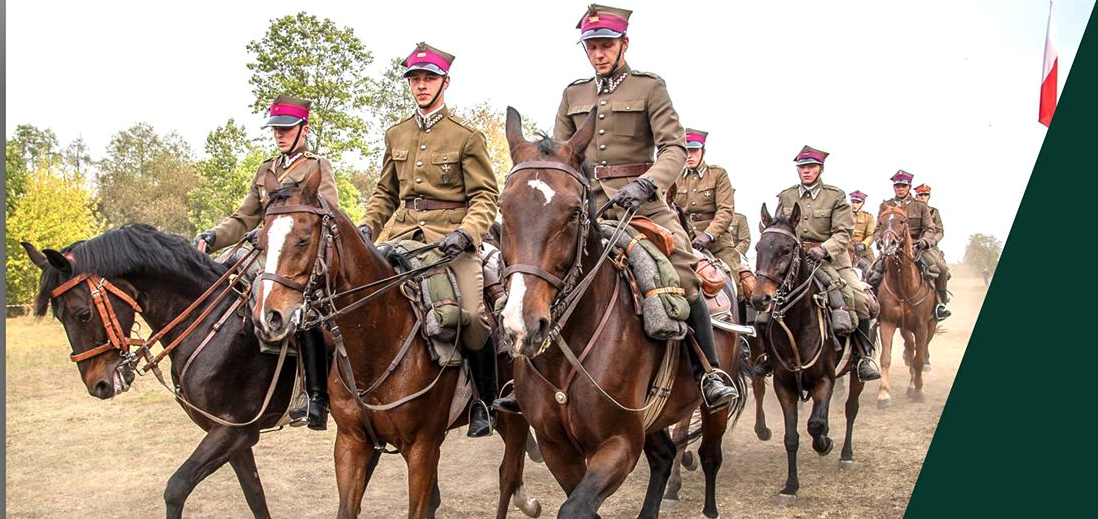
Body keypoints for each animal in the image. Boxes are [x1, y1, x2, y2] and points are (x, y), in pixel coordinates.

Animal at [22, 226, 296, 517]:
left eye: (83, 314)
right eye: (58, 317)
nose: (98, 385)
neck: (211, 324)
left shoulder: (234, 430)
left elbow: (176, 487)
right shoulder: (231, 436)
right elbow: (254, 495)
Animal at [251, 171, 535, 517]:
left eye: (304, 238)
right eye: (261, 241)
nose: (267, 317)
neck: (377, 345)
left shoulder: (423, 449)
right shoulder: (351, 443)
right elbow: (348, 507)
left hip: (516, 415)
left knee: (508, 475)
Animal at [500, 106, 742, 517]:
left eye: (573, 212)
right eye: (503, 208)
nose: (524, 326)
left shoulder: (620, 443)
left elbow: (576, 509)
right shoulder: (555, 447)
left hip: (713, 410)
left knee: (710, 455)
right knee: (664, 456)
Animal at [869, 202, 939, 408]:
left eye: (903, 221)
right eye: (881, 222)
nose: (888, 244)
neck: (903, 286)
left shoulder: (922, 326)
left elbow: (919, 360)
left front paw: (920, 391)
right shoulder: (887, 323)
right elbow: (886, 358)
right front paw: (884, 395)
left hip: (930, 326)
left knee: (919, 353)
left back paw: (914, 385)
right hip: (905, 328)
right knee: (910, 349)